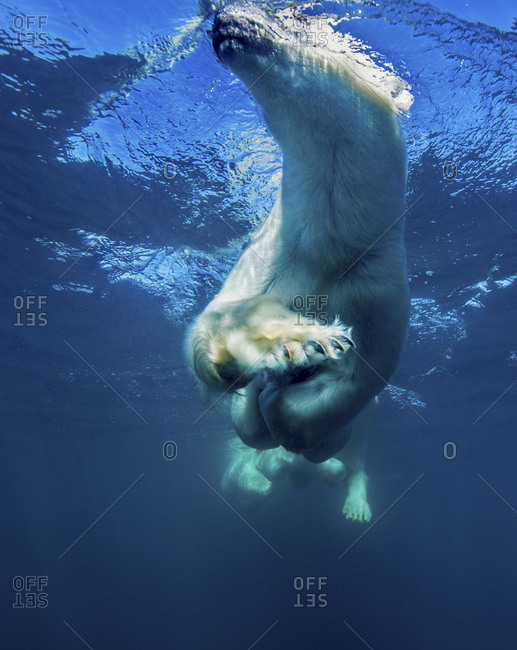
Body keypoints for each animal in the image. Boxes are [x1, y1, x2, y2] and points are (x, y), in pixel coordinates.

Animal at [187, 3, 412, 521]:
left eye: (307, 26)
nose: (221, 19)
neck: (329, 240)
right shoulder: (271, 255)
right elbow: (210, 329)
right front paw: (298, 344)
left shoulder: (378, 275)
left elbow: (368, 374)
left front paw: (290, 400)